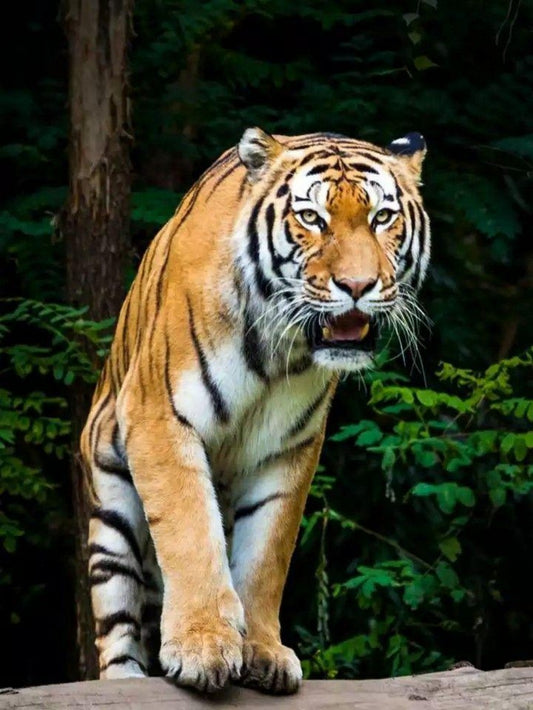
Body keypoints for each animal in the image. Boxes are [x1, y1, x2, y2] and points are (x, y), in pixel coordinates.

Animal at [80, 127, 430, 694]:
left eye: (382, 217)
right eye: (312, 218)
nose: (358, 287)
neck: (276, 347)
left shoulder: (289, 447)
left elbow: (266, 555)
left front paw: (262, 651)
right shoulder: (160, 419)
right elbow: (190, 533)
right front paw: (202, 646)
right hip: (111, 514)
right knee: (116, 622)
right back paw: (126, 680)